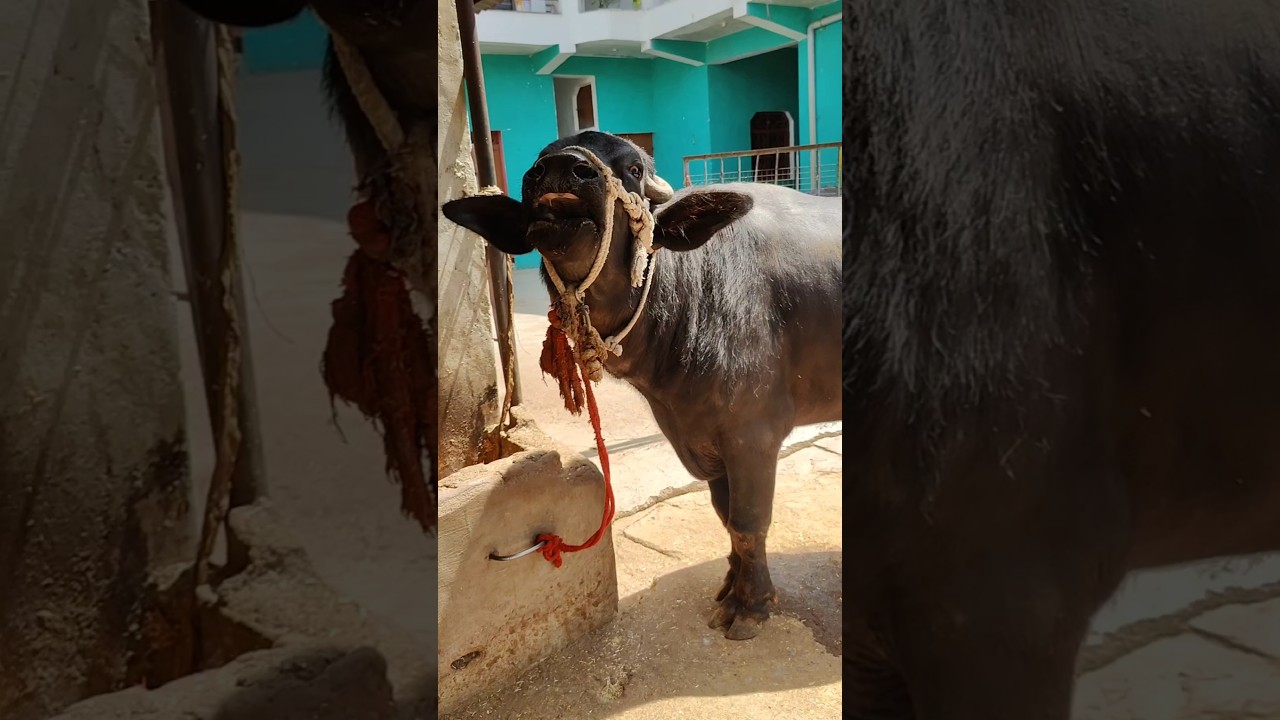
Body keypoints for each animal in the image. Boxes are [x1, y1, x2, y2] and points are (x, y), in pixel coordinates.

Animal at [442, 130, 842, 640]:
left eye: (633, 168)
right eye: (539, 159)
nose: (562, 168)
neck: (693, 296)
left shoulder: (753, 435)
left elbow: (748, 521)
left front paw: (751, 604)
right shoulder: (703, 439)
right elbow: (724, 515)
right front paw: (730, 583)